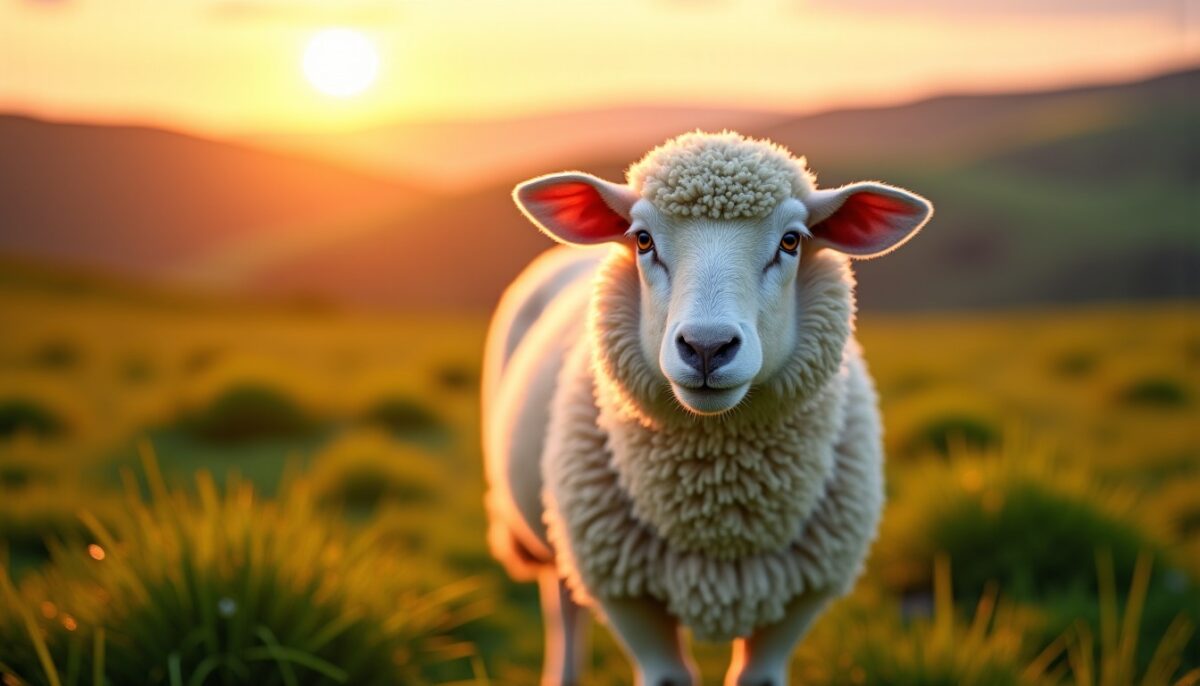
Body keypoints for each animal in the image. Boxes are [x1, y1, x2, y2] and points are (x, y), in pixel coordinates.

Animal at [483, 130, 933, 686]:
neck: (719, 506)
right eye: (643, 240)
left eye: (791, 241)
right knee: (563, 605)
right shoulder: (629, 597)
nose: (706, 346)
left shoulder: (800, 598)